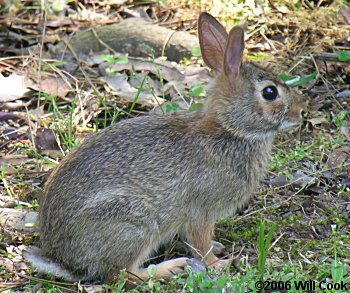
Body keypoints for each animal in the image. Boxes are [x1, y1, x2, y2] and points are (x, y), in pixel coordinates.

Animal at [24, 12, 304, 284]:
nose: (301, 111)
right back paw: (171, 268)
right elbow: (201, 242)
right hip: (135, 222)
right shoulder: (201, 210)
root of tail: (66, 261)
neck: (229, 130)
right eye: (270, 92)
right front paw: (217, 264)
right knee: (122, 275)